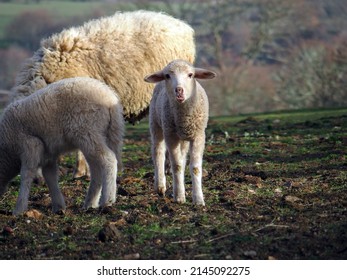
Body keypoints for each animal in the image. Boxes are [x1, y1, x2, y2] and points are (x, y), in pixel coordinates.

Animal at [143, 59, 215, 206]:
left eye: (190, 75)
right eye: (167, 76)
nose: (179, 90)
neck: (184, 117)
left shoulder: (198, 136)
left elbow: (195, 167)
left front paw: (198, 199)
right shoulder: (171, 136)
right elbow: (176, 166)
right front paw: (179, 197)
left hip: (183, 138)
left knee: (181, 156)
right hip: (156, 124)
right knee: (158, 153)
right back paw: (160, 186)